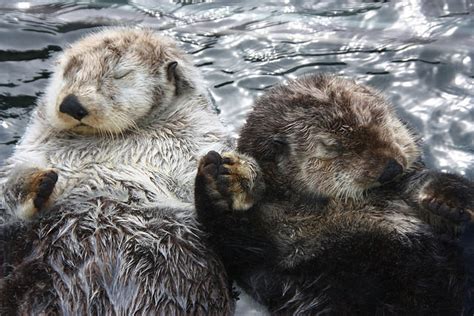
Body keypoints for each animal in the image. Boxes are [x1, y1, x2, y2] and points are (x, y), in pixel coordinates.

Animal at [0, 27, 233, 316]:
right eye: (68, 73)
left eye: (121, 74)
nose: (71, 104)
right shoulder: (33, 149)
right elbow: (8, 189)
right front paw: (39, 183)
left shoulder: (203, 137)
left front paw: (214, 182)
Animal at [194, 74, 472, 316]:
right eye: (333, 147)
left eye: (381, 121)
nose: (391, 168)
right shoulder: (264, 260)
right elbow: (236, 244)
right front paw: (224, 182)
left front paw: (446, 200)